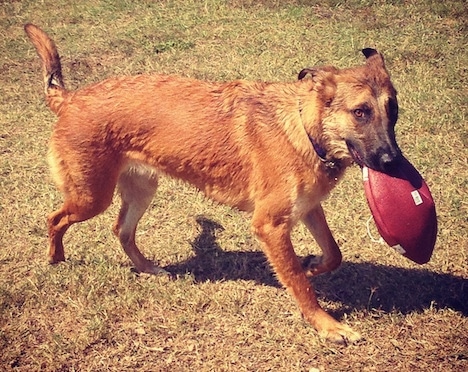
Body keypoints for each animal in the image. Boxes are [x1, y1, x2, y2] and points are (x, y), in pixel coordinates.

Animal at [24, 22, 402, 342]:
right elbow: (298, 283)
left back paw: (147, 268)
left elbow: (333, 254)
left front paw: (312, 267)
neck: (304, 128)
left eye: (393, 110)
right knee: (55, 219)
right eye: (361, 112)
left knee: (122, 230)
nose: (393, 163)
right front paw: (326, 324)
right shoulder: (271, 225)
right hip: (92, 197)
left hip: (141, 190)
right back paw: (56, 258)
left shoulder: (307, 208)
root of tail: (69, 98)